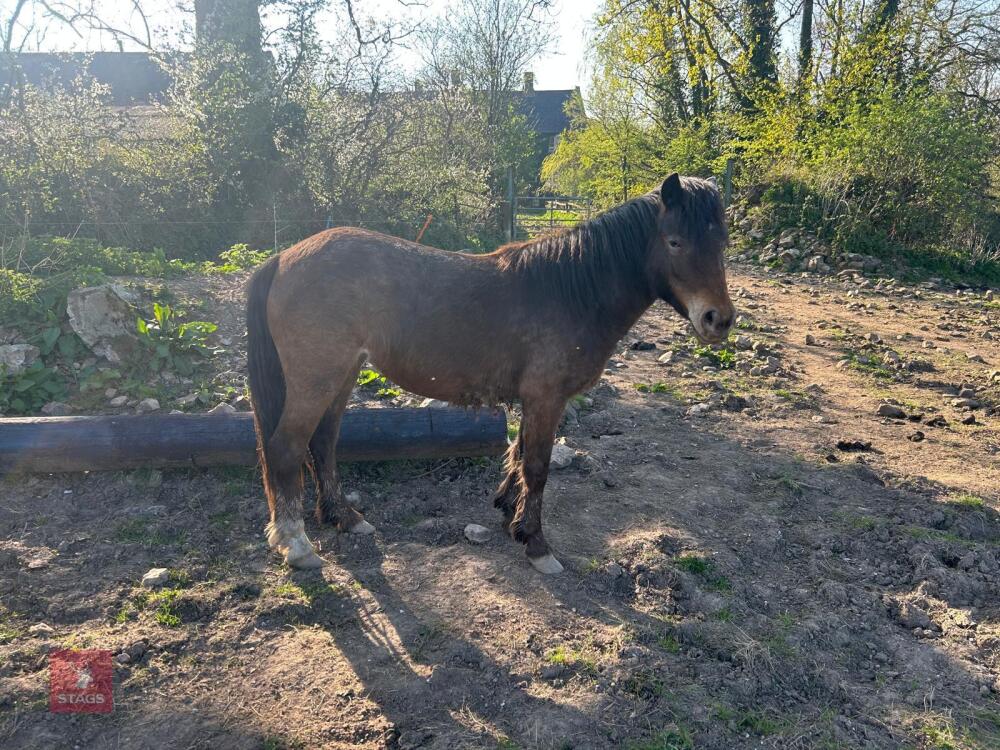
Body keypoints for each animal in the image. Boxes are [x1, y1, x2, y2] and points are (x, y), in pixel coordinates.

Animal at [246, 173, 735, 573]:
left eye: (722, 244)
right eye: (674, 241)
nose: (718, 320)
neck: (572, 291)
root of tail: (284, 257)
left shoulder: (536, 399)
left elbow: (518, 454)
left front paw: (508, 513)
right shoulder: (545, 397)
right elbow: (536, 465)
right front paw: (536, 544)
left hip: (343, 374)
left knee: (323, 443)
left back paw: (345, 519)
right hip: (317, 379)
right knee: (286, 447)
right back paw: (296, 544)